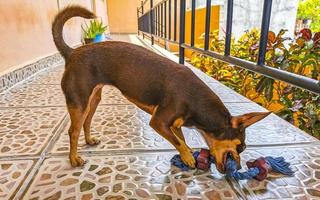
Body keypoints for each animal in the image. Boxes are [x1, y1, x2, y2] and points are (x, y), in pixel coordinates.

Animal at [52, 5, 270, 173]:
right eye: (240, 147)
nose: (240, 168)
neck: (196, 102)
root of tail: (71, 53)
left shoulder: (174, 125)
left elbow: (181, 140)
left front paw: (186, 155)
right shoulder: (158, 122)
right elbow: (178, 142)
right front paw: (188, 157)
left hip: (92, 100)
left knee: (86, 123)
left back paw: (89, 141)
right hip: (79, 102)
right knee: (73, 131)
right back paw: (74, 159)